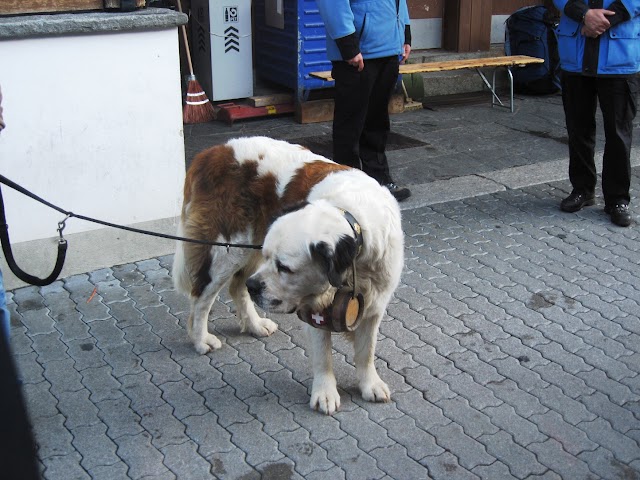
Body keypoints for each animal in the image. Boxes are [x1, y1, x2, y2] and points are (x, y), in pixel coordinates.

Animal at [174, 135, 404, 412]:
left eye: (284, 267)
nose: (256, 287)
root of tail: (213, 152)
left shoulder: (375, 301)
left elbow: (366, 350)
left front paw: (370, 384)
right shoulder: (315, 308)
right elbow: (323, 355)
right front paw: (325, 393)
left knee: (237, 285)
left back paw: (254, 324)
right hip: (226, 250)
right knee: (202, 298)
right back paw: (201, 340)